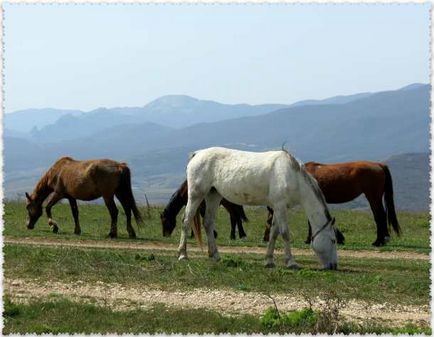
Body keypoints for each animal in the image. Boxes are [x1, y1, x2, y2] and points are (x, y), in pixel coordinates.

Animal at [178, 147, 338, 270]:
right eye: (333, 240)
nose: (334, 266)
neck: (292, 176)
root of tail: (198, 154)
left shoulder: (277, 208)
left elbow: (274, 233)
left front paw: (269, 261)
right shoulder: (280, 206)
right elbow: (285, 233)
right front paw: (291, 262)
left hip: (214, 195)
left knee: (208, 223)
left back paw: (215, 255)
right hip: (196, 194)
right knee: (186, 221)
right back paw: (182, 254)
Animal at [262, 159, 400, 245]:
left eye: (268, 221)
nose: (264, 238)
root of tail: (379, 165)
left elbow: (310, 221)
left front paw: (309, 239)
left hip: (373, 196)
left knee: (379, 216)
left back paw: (379, 241)